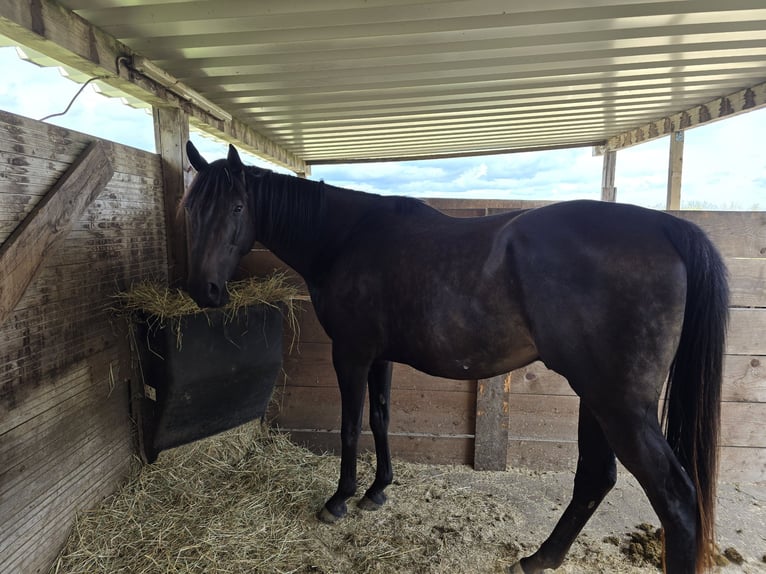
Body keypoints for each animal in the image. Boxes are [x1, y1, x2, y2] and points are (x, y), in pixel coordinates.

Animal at [181, 141, 728, 574]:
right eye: (191, 209)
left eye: (236, 206)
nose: (204, 291)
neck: (346, 238)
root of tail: (664, 227)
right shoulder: (380, 357)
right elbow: (380, 419)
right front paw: (378, 490)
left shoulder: (351, 354)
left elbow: (350, 425)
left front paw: (340, 499)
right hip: (597, 397)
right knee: (597, 476)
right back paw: (539, 559)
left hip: (619, 405)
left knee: (675, 500)